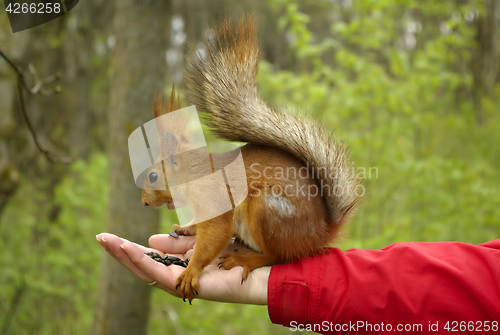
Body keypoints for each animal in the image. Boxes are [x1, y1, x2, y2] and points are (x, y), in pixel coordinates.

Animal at [141, 16, 360, 304]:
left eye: (153, 175)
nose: (144, 202)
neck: (195, 173)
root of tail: (318, 235)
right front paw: (187, 229)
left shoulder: (213, 199)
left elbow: (215, 234)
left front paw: (190, 272)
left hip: (266, 209)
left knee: (276, 256)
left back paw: (244, 260)